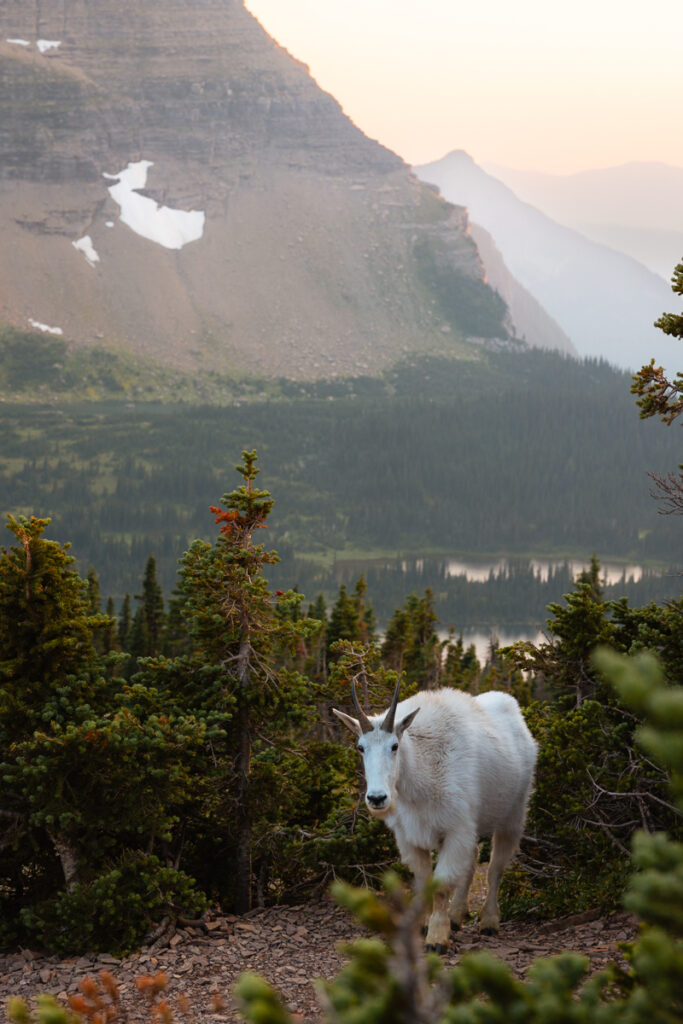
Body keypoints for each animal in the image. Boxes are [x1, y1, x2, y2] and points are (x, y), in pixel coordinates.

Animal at [335, 679, 540, 950]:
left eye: (394, 746)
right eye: (360, 747)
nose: (377, 798)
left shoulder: (455, 829)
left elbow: (441, 885)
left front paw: (436, 937)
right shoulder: (409, 836)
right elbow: (424, 881)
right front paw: (423, 925)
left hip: (513, 814)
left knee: (495, 868)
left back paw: (488, 921)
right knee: (471, 864)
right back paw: (456, 915)